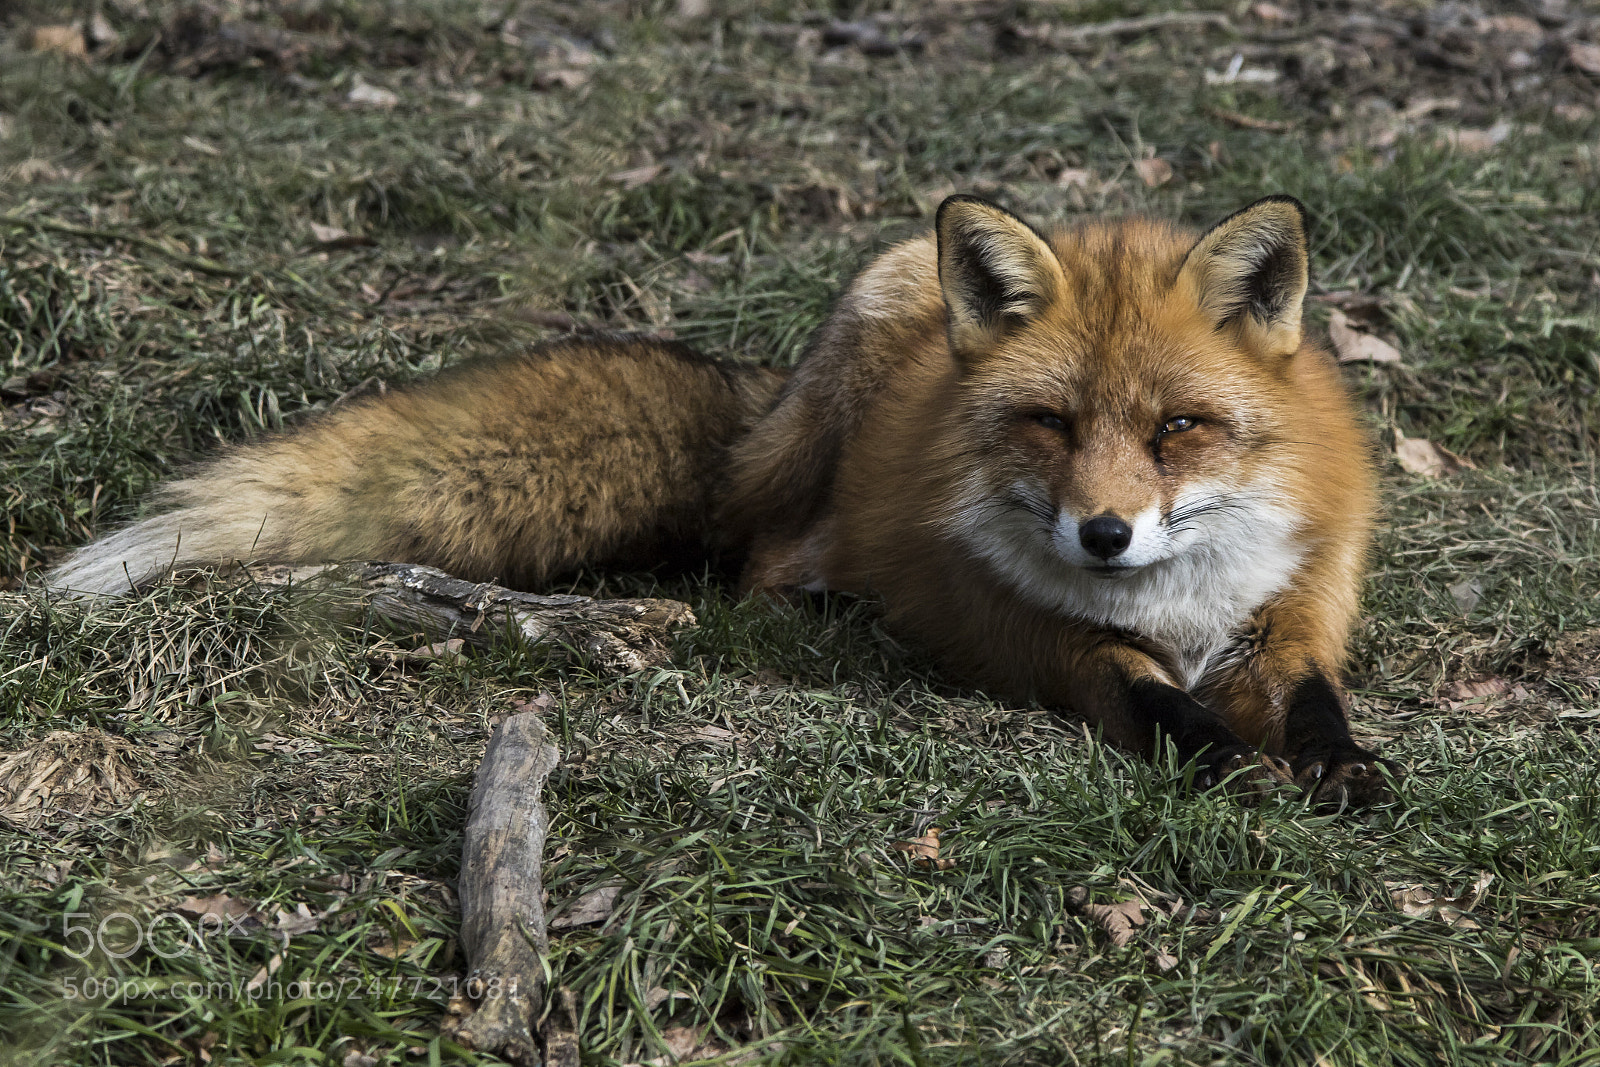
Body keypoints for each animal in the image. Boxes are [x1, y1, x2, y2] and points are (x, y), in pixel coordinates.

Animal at [47, 194, 1394, 805]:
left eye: (1178, 430)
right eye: (1050, 425)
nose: (1104, 533)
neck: (1174, 601)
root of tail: (762, 403)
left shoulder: (1293, 607)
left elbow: (1314, 697)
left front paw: (1340, 764)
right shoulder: (1024, 631)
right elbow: (1145, 696)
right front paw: (1222, 758)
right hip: (836, 402)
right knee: (760, 554)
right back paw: (831, 604)